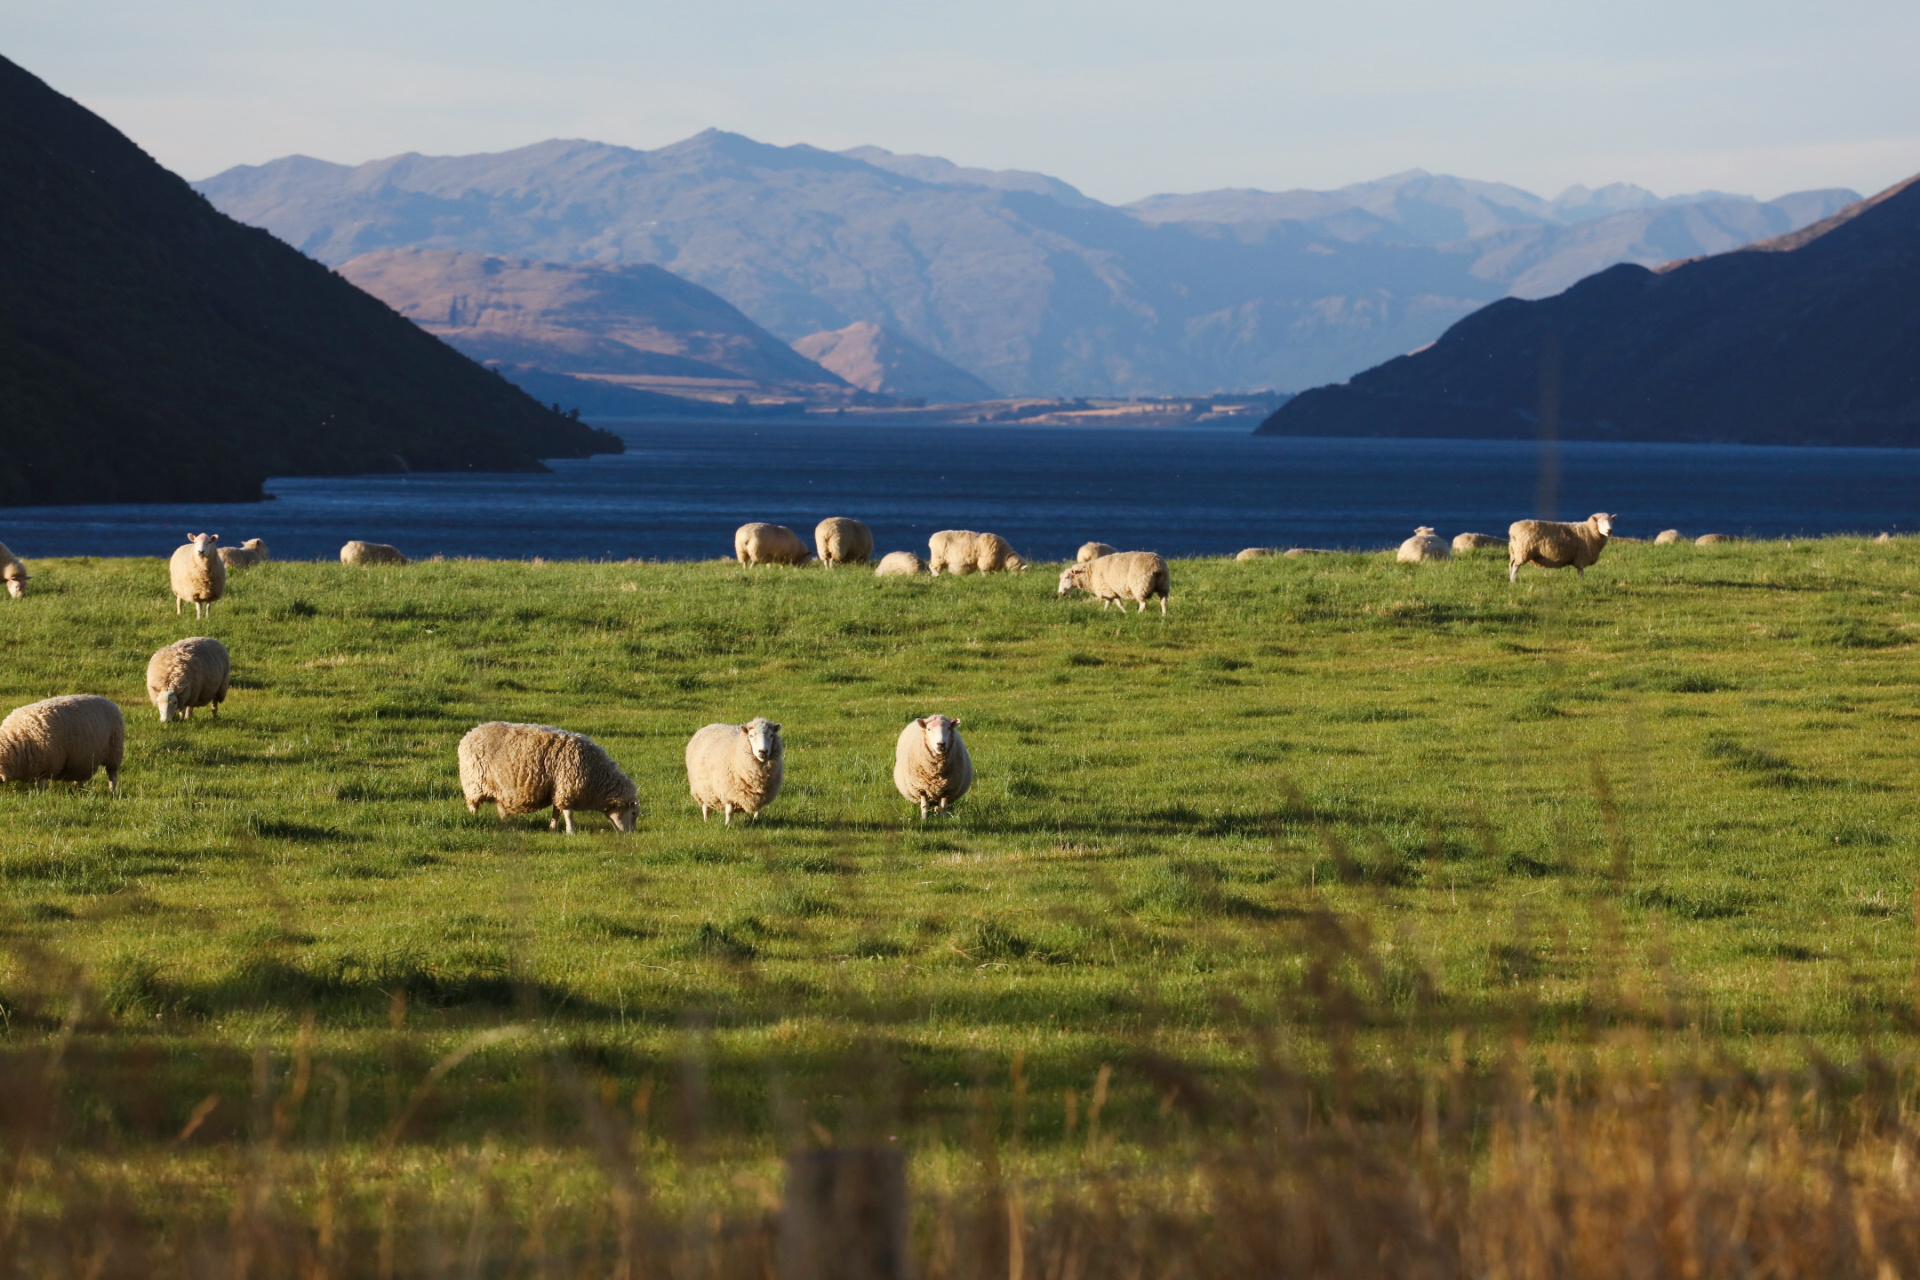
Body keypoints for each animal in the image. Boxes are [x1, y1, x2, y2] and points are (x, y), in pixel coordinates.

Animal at [456, 725, 637, 836]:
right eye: (634, 813)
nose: (631, 834)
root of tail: (469, 734)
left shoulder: (558, 790)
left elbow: (557, 812)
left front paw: (552, 828)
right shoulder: (567, 788)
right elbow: (568, 813)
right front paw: (571, 831)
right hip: (474, 782)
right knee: (473, 805)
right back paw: (475, 820)